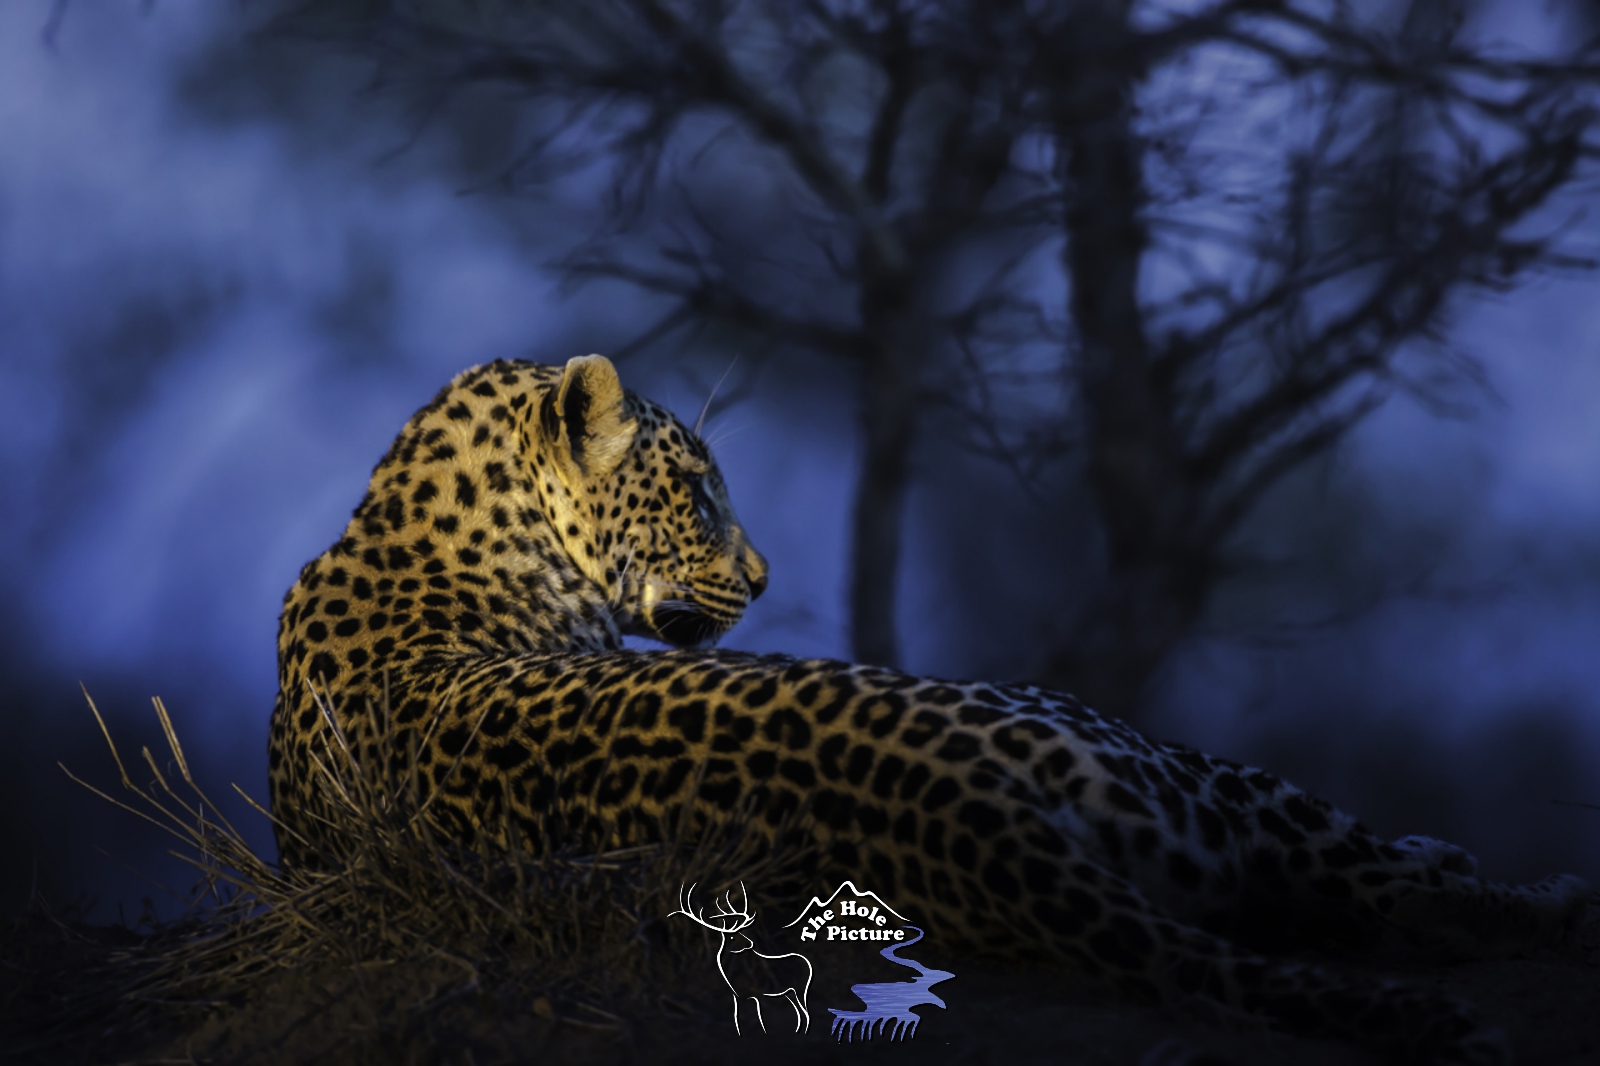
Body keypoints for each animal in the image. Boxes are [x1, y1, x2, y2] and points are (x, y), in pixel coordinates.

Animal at [269, 354, 1592, 1064]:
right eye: (697, 494)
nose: (763, 578)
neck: (412, 528)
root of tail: (943, 800)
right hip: (1152, 758)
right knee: (1401, 894)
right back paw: (1524, 888)